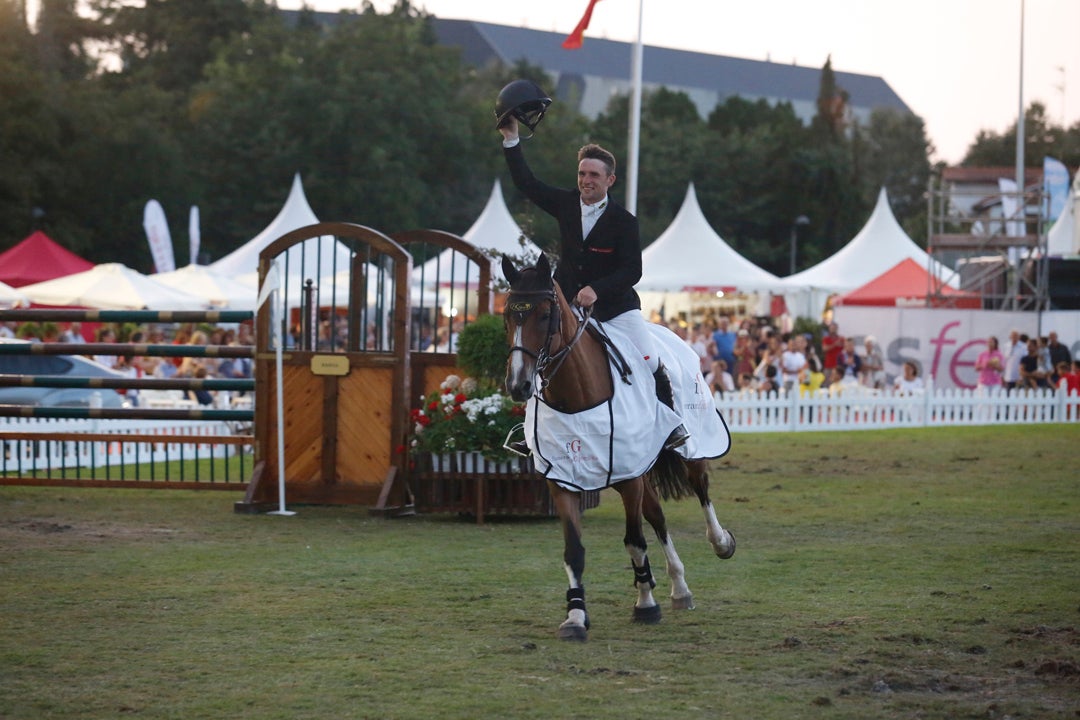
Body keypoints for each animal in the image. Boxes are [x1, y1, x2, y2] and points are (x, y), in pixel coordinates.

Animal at [503, 254, 738, 643]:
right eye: (508, 314)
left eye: (544, 314)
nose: (518, 385)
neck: (577, 397)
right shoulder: (565, 479)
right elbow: (575, 549)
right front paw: (575, 616)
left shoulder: (629, 477)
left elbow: (634, 540)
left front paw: (645, 604)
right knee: (657, 516)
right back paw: (678, 587)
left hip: (687, 450)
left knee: (700, 489)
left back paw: (720, 543)